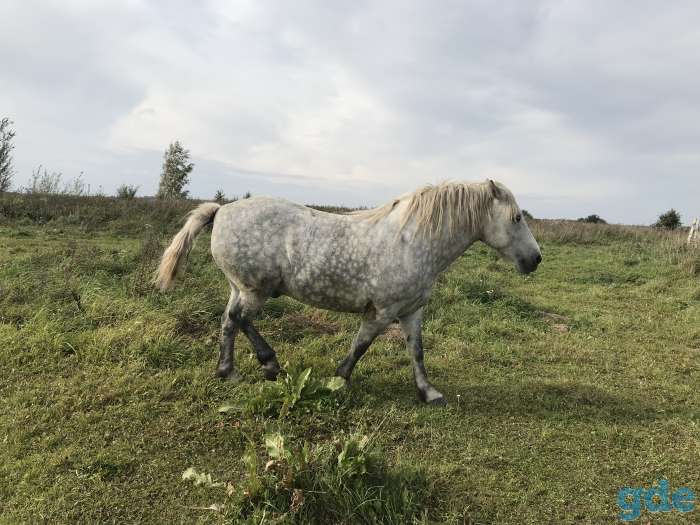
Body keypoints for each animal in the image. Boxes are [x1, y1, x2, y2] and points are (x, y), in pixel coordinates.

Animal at [155, 180, 541, 405]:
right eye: (517, 218)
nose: (535, 259)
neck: (413, 241)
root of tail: (221, 211)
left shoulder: (411, 311)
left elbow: (417, 352)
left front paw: (428, 392)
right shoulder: (382, 311)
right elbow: (361, 345)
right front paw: (339, 379)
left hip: (239, 288)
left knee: (229, 323)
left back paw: (228, 371)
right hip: (255, 290)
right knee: (241, 320)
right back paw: (270, 364)